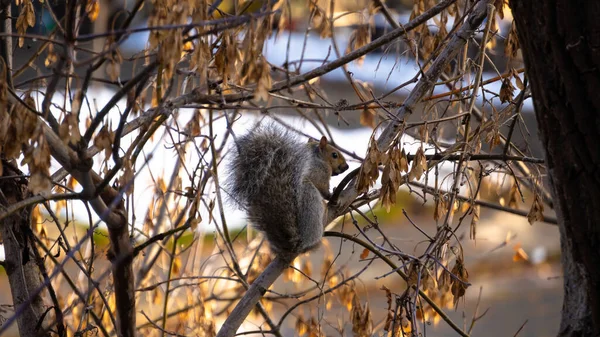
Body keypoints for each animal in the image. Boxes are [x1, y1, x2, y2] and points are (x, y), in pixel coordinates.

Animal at [227, 123, 350, 258]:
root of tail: (298, 243)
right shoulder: (319, 171)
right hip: (310, 199)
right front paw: (334, 196)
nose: (347, 167)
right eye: (334, 154)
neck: (318, 157)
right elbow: (322, 187)